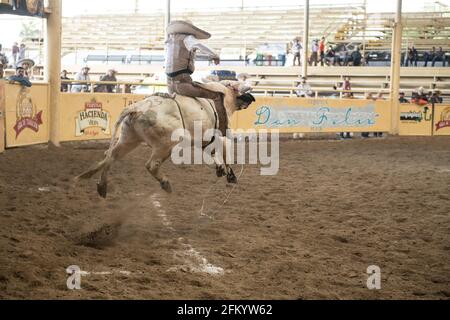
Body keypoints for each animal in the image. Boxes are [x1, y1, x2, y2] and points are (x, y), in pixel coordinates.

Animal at [75, 82, 255, 198]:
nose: (250, 99)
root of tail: (136, 107)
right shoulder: (222, 136)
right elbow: (225, 153)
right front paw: (230, 176)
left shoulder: (204, 139)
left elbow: (211, 152)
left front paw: (220, 169)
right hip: (166, 145)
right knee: (151, 165)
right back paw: (165, 184)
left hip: (129, 139)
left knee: (110, 157)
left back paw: (101, 185)